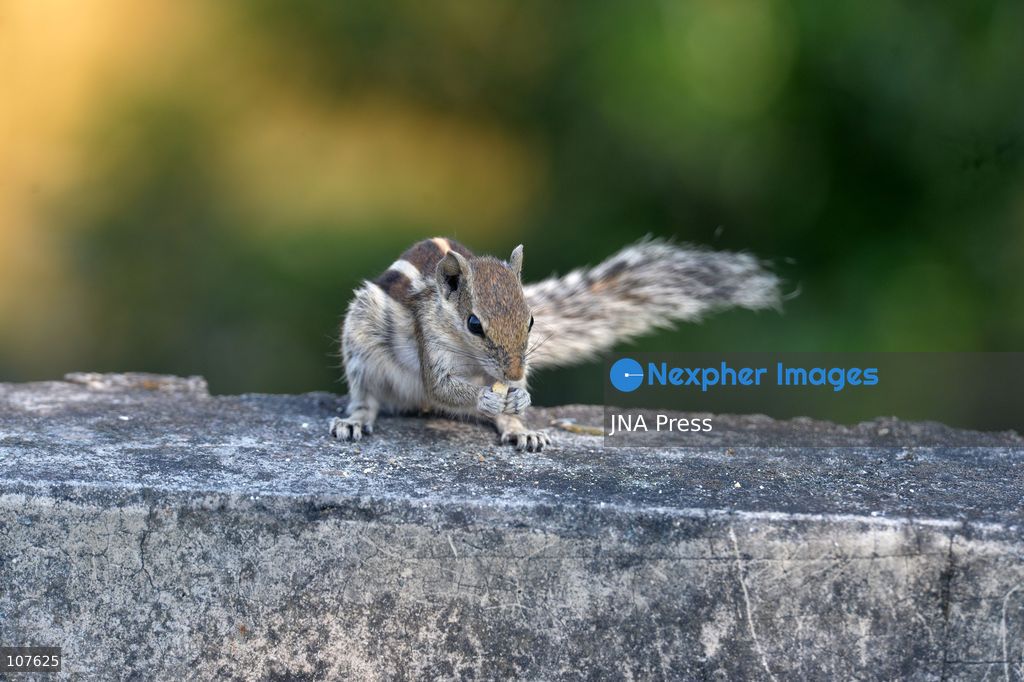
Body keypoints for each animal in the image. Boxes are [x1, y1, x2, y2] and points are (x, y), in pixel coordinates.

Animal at [330, 237, 779, 451]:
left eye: (531, 319)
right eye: (474, 324)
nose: (515, 373)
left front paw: (520, 400)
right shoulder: (431, 341)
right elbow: (442, 386)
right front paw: (488, 398)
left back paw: (520, 429)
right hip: (361, 337)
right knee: (368, 396)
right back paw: (355, 420)